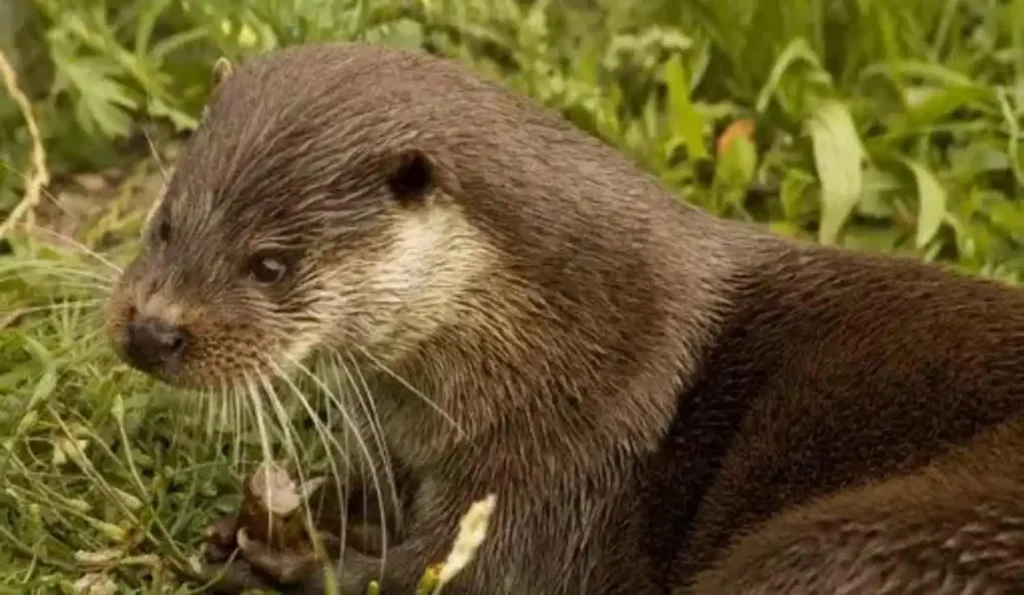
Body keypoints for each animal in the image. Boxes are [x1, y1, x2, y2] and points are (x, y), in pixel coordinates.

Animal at [103, 42, 1024, 594]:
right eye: (167, 220)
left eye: (271, 264)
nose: (152, 330)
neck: (566, 346)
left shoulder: (572, 465)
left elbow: (445, 573)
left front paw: (288, 561)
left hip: (858, 540)